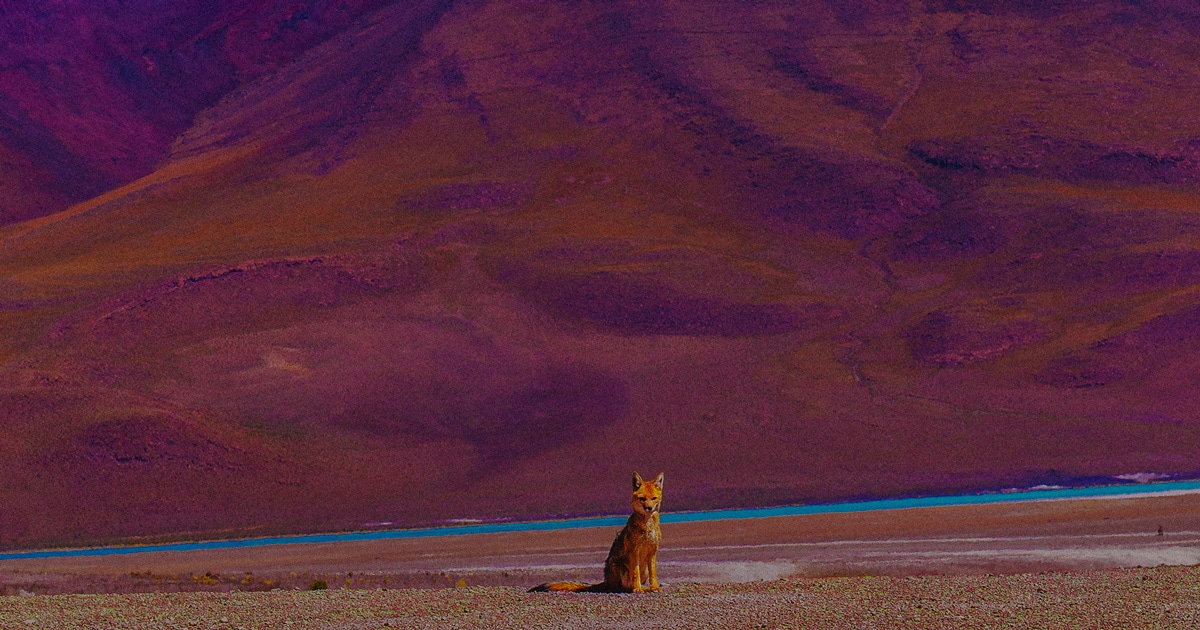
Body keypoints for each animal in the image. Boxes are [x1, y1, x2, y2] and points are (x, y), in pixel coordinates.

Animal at [532, 468, 667, 592]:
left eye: (654, 498)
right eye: (642, 498)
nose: (649, 508)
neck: (648, 526)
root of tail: (606, 581)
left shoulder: (652, 552)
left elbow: (653, 574)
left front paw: (654, 587)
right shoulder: (634, 552)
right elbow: (635, 573)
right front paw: (638, 589)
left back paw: (646, 588)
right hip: (618, 565)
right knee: (621, 587)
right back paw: (634, 588)